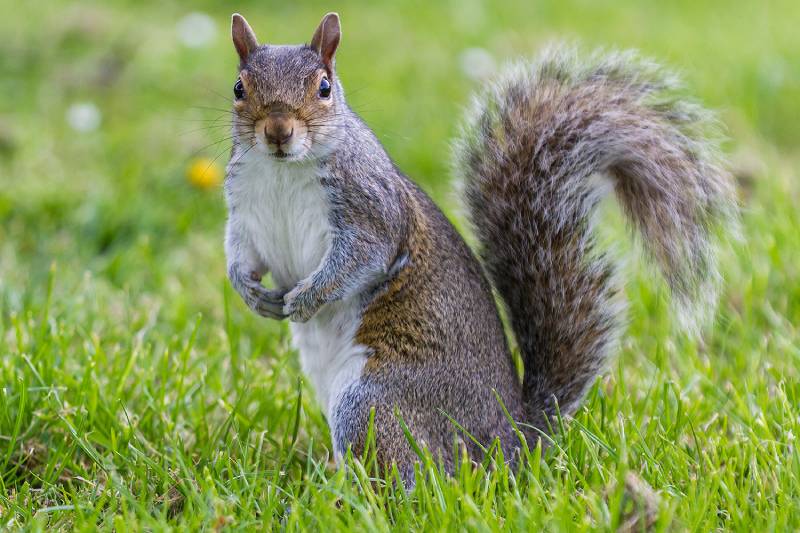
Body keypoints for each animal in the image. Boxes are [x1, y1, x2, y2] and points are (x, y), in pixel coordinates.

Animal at [223, 12, 737, 482]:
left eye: (325, 87)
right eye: (239, 87)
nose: (278, 131)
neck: (283, 171)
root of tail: (512, 442)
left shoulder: (370, 207)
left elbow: (362, 257)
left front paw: (306, 297)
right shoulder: (244, 214)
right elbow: (241, 255)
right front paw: (252, 294)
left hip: (374, 400)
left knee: (416, 476)